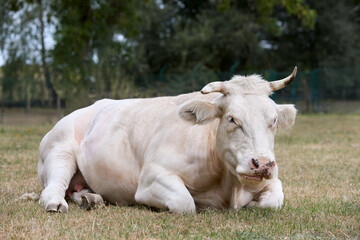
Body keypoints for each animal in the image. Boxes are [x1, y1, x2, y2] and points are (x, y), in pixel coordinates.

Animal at [38, 66, 298, 213]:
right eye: (232, 119)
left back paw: (90, 199)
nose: (262, 164)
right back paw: (56, 203)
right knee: (54, 187)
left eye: (274, 120)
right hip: (59, 153)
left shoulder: (272, 179)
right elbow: (186, 203)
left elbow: (275, 199)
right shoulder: (152, 177)